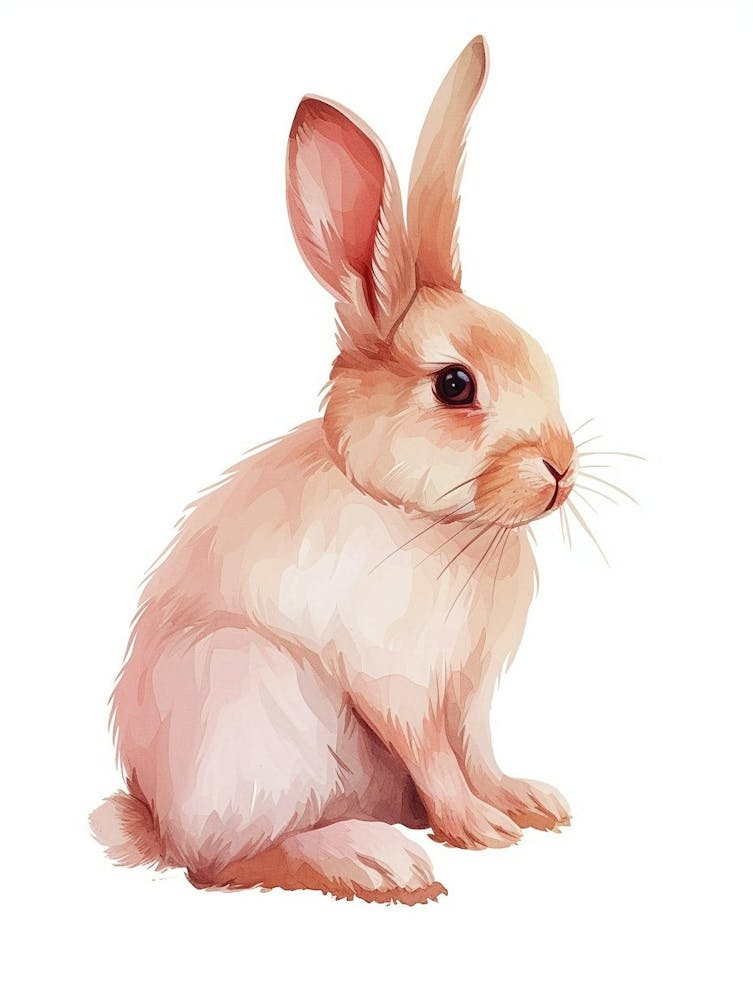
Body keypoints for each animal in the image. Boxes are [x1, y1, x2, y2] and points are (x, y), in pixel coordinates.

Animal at [91, 35, 579, 905]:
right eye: (455, 386)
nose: (560, 468)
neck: (431, 517)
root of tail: (153, 819)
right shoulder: (398, 685)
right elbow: (435, 757)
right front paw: (480, 829)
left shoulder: (470, 692)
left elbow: (476, 750)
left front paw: (523, 804)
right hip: (249, 710)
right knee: (222, 864)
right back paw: (375, 859)